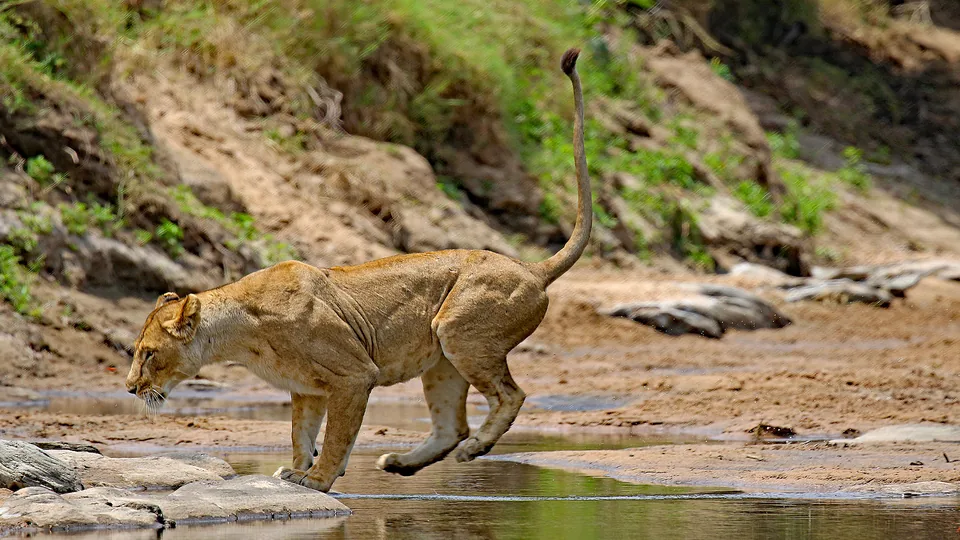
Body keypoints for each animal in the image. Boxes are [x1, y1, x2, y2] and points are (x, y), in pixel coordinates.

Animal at [126, 48, 591, 493]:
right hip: (444, 361)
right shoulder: (307, 388)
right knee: (450, 426)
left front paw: (319, 479)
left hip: (461, 332)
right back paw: (401, 463)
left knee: (511, 396)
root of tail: (531, 267)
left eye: (148, 353)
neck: (240, 332)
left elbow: (337, 435)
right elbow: (301, 435)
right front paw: (297, 471)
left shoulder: (353, 375)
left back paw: (475, 448)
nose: (130, 388)